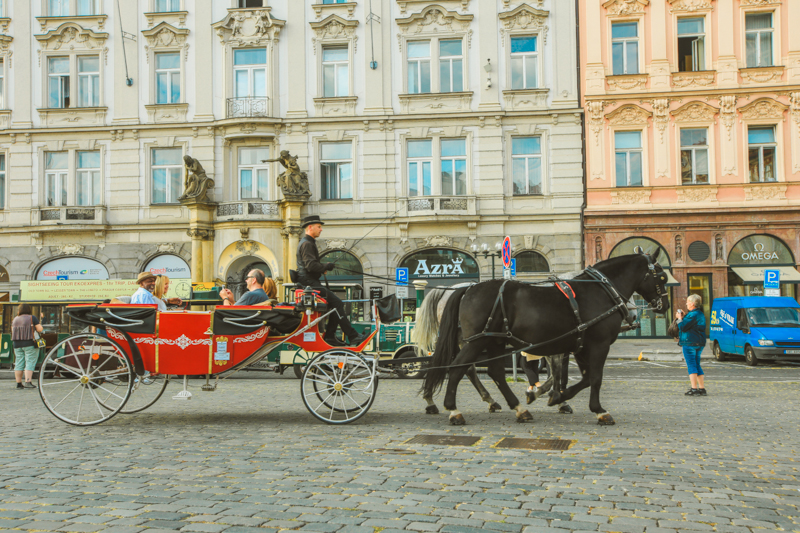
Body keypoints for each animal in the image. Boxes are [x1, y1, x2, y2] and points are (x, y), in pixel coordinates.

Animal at [422, 252, 672, 424]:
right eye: (661, 276)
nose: (665, 305)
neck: (600, 291)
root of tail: (467, 288)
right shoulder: (598, 345)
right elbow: (593, 377)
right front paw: (597, 410)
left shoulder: (581, 346)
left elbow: (581, 377)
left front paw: (557, 397)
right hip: (476, 341)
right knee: (458, 368)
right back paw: (454, 410)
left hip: (494, 340)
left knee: (494, 373)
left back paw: (518, 408)